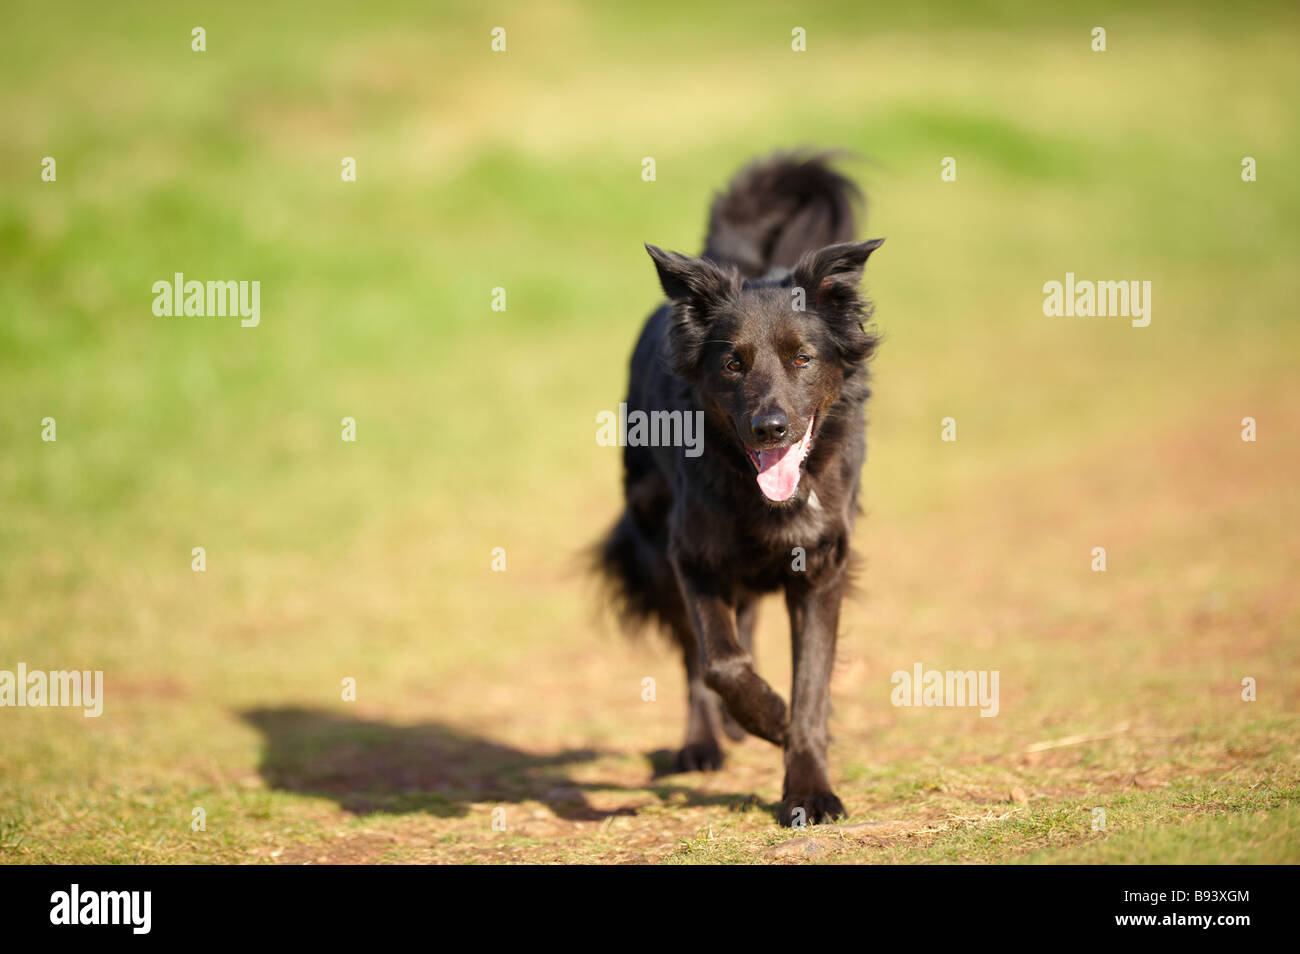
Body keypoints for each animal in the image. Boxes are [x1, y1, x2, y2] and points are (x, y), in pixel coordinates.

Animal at [595, 153, 883, 826]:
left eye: (803, 358)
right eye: (732, 363)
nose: (770, 427)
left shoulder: (821, 566)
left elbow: (811, 685)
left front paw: (808, 785)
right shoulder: (691, 557)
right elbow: (720, 662)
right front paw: (769, 718)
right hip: (652, 539)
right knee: (698, 657)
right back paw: (705, 741)